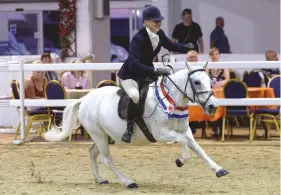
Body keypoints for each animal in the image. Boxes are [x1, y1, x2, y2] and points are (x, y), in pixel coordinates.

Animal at [43, 61, 228, 188]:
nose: (213, 106)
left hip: (105, 136)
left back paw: (99, 179)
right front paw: (180, 160)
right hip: (99, 135)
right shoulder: (160, 134)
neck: (171, 100)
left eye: (210, 80)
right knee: (106, 159)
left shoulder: (186, 131)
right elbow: (183, 142)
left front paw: (219, 169)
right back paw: (128, 182)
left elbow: (198, 149)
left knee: (92, 153)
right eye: (196, 82)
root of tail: (84, 99)